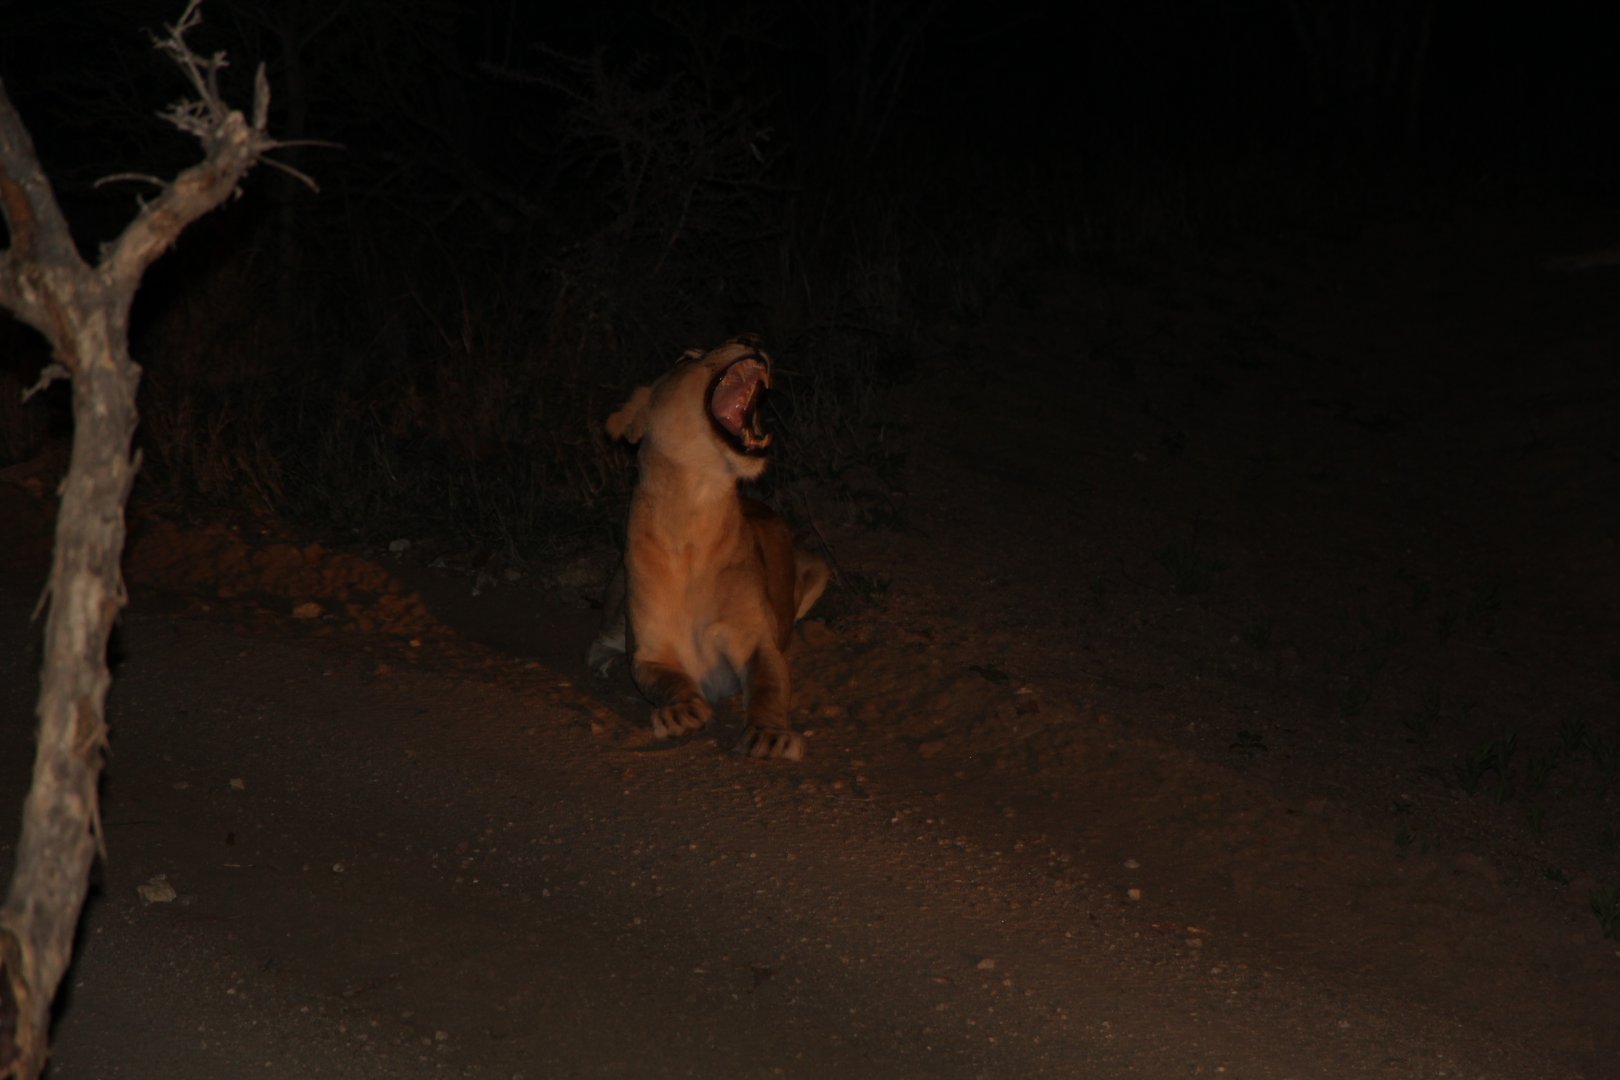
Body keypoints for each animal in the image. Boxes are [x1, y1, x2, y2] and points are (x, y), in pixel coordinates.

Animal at [588, 336, 829, 760]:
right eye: (685, 358)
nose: (751, 339)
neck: (693, 518)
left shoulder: (757, 643)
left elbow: (769, 685)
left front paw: (770, 734)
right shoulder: (650, 649)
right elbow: (665, 678)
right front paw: (681, 711)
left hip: (818, 568)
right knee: (601, 639)